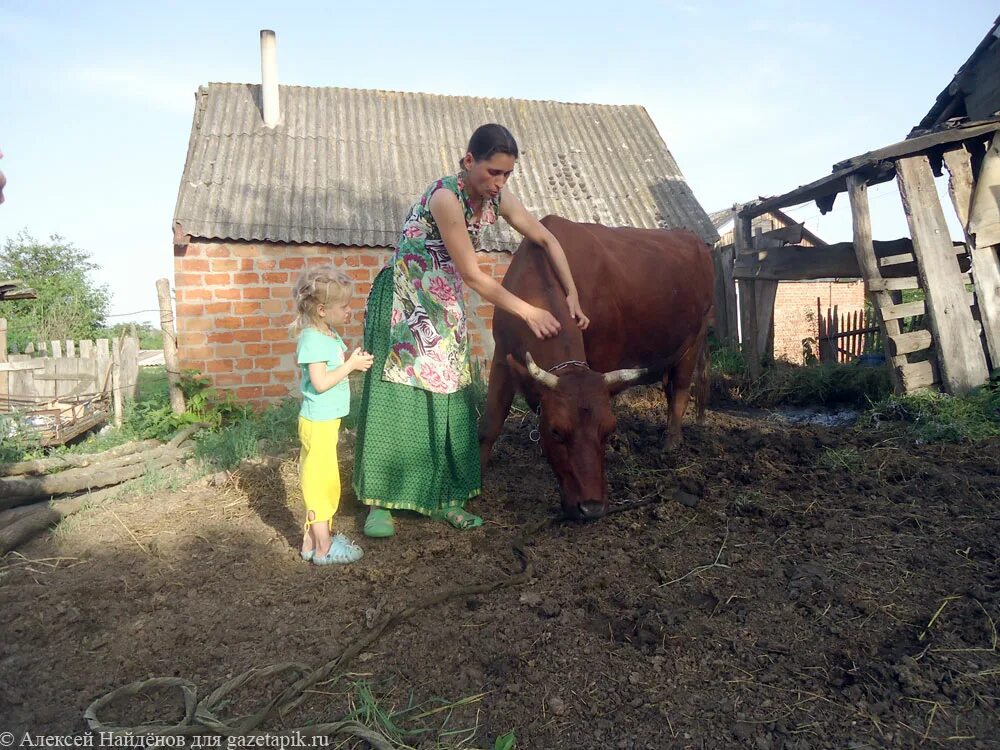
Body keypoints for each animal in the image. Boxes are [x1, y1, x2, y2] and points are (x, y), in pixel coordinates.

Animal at [480, 216, 716, 524]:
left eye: (609, 430)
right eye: (556, 431)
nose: (591, 507)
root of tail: (694, 239)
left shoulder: (605, 357)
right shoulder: (501, 356)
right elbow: (490, 424)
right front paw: (475, 477)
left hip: (694, 340)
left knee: (681, 391)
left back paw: (671, 442)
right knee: (670, 389)